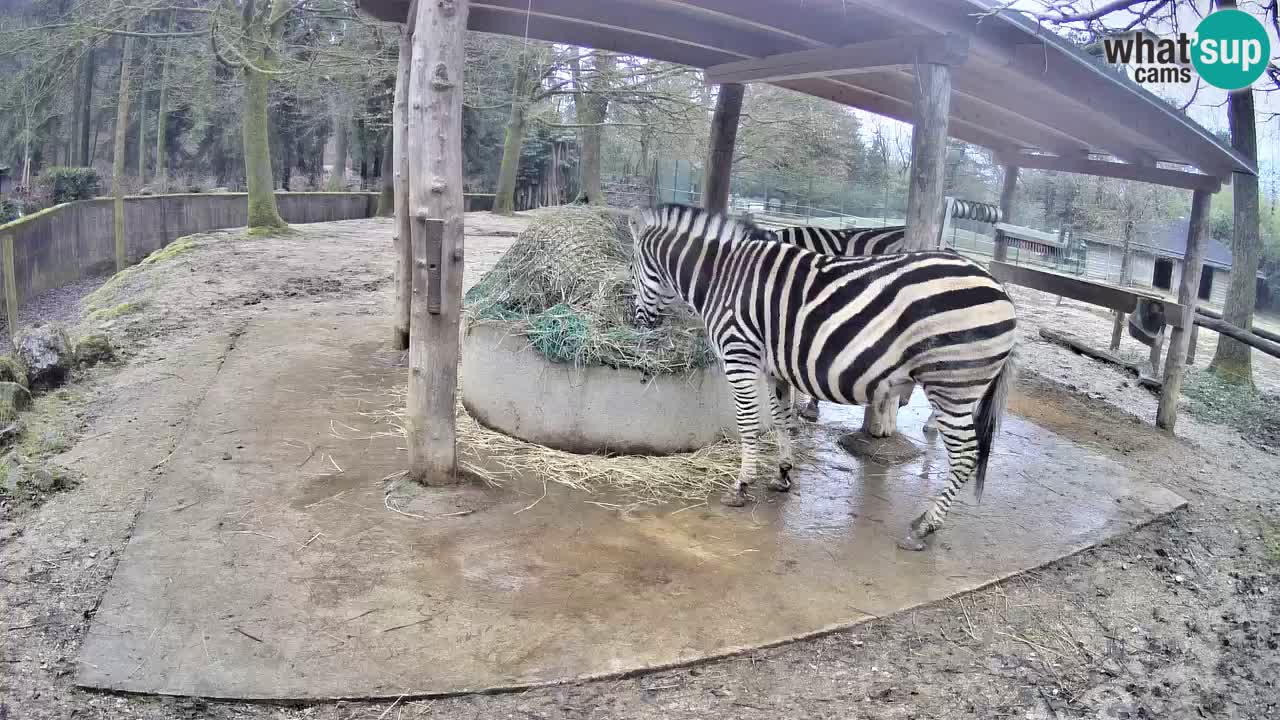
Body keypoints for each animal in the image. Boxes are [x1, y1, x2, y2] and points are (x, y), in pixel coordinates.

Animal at [629, 203, 1018, 550]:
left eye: (632, 270)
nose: (636, 323)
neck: (723, 276)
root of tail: (1002, 290)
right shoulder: (775, 369)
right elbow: (782, 420)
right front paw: (783, 474)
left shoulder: (740, 356)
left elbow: (748, 423)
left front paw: (741, 486)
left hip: (951, 384)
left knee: (965, 454)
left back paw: (925, 526)